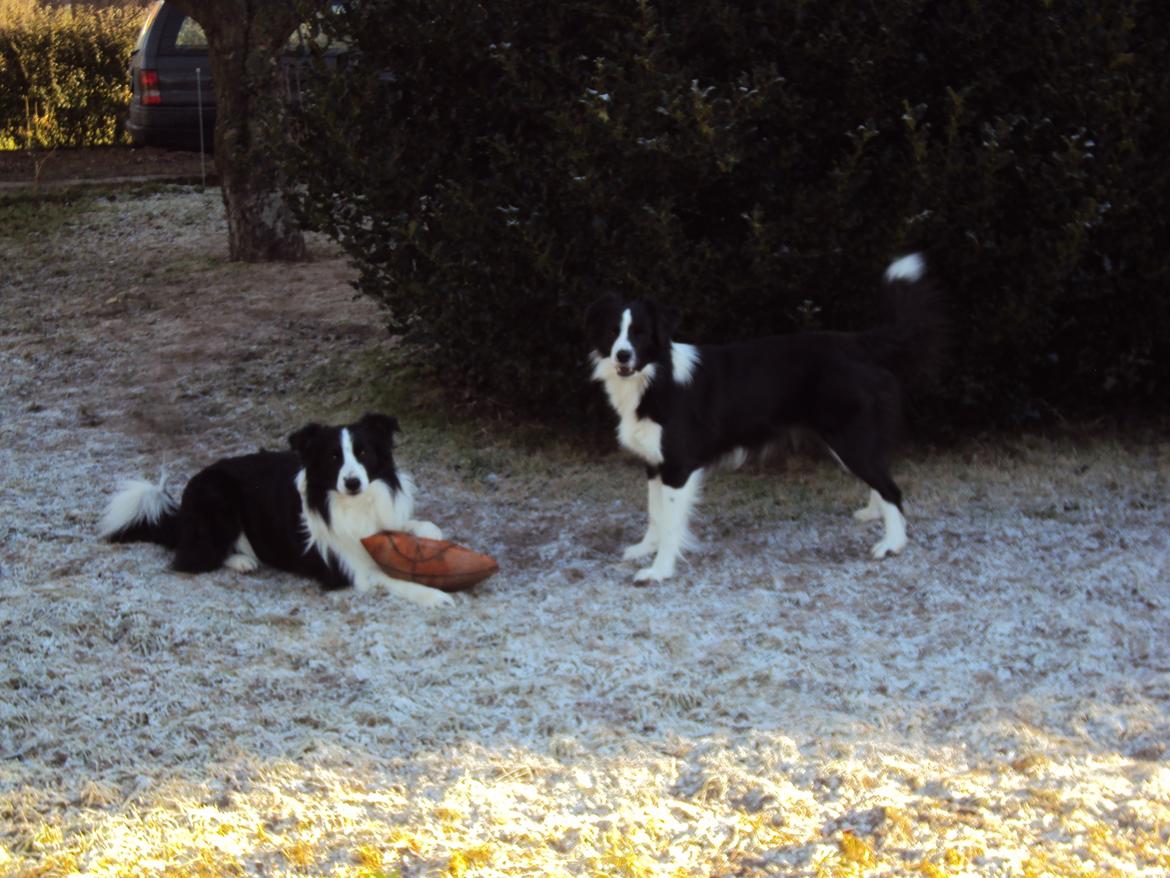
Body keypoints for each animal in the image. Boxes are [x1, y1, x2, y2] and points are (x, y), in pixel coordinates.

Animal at [99, 412, 451, 604]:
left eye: (363, 452)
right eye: (333, 457)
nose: (352, 482)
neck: (352, 504)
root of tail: (182, 514)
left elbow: (416, 526)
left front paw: (431, 536)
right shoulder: (345, 568)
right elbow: (390, 580)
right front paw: (435, 596)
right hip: (217, 493)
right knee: (194, 556)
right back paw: (241, 559)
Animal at [589, 254, 945, 585]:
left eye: (640, 334)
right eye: (612, 332)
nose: (623, 355)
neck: (654, 377)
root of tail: (857, 342)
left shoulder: (678, 465)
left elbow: (670, 523)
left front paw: (659, 570)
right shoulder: (654, 461)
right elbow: (655, 513)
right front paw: (644, 549)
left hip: (849, 438)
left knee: (891, 488)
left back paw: (892, 543)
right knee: (880, 475)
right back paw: (873, 514)